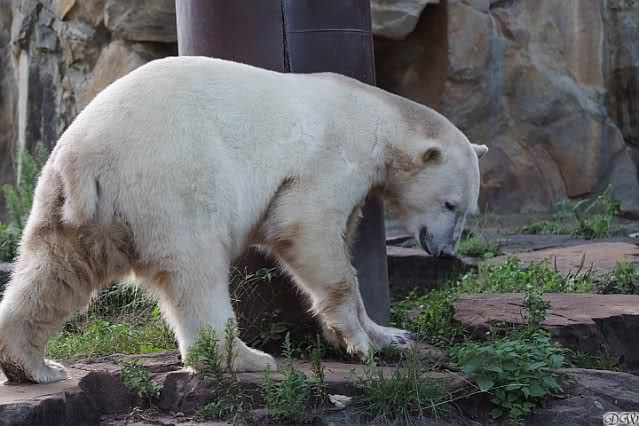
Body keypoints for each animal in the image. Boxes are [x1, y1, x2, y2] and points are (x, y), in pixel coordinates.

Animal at [0, 56, 487, 384]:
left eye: (468, 209)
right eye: (451, 204)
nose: (445, 251)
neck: (376, 114)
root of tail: (86, 156)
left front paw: (390, 335)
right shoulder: (333, 158)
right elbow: (303, 227)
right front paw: (357, 343)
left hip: (71, 204)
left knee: (55, 269)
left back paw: (30, 363)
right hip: (170, 179)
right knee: (196, 272)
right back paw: (246, 357)